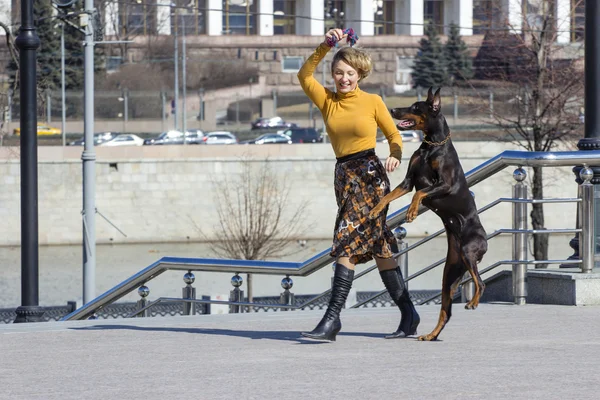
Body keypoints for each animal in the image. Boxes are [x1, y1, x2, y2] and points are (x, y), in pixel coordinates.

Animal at [370, 87, 488, 340]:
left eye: (416, 107)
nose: (392, 109)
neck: (431, 145)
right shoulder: (407, 181)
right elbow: (388, 196)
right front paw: (375, 209)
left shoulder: (445, 184)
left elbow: (420, 193)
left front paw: (412, 212)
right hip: (450, 273)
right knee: (446, 312)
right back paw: (431, 335)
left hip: (468, 251)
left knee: (480, 283)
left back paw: (473, 302)